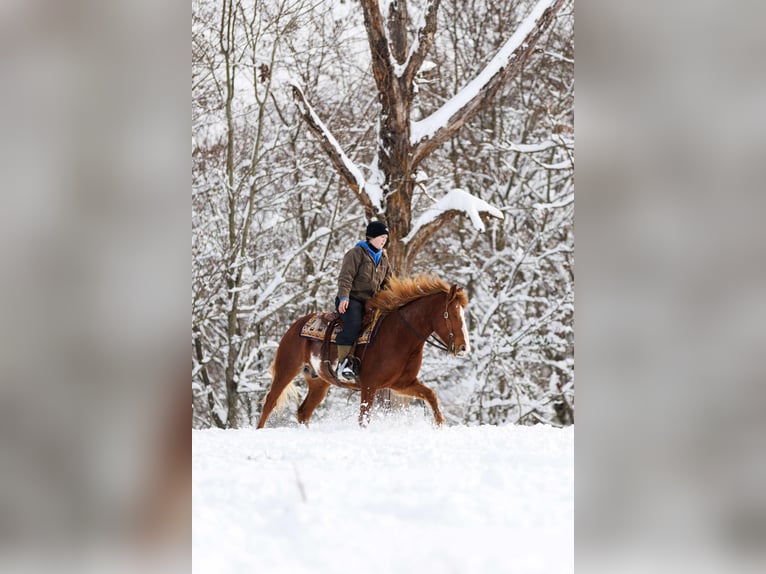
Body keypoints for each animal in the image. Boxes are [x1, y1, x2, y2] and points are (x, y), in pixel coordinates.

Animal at [256, 274, 470, 428]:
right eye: (451, 314)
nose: (463, 347)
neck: (399, 335)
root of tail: (296, 325)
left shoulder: (402, 383)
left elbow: (431, 395)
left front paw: (440, 424)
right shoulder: (369, 386)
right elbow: (364, 418)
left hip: (319, 382)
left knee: (303, 412)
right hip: (287, 369)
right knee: (270, 402)